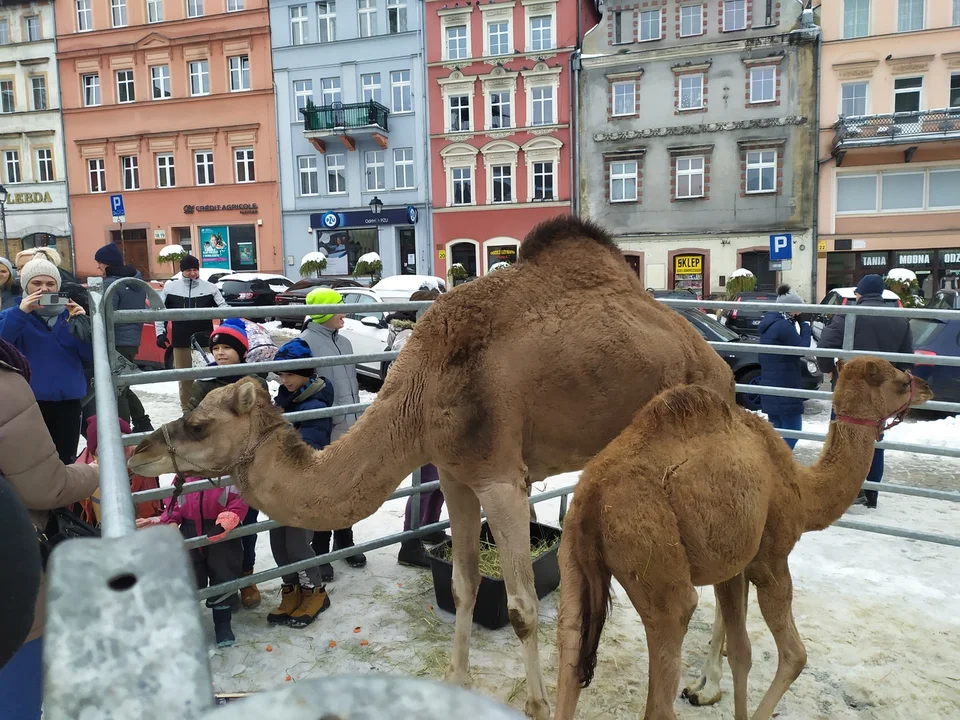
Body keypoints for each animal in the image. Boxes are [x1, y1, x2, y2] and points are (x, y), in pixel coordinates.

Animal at [125, 215, 728, 720]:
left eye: (198, 424)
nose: (140, 451)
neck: (421, 393)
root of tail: (715, 361)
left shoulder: (501, 478)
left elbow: (522, 606)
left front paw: (535, 705)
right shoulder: (457, 473)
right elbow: (462, 585)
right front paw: (457, 682)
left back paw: (706, 685)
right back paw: (704, 681)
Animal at [556, 358, 928, 720]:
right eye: (900, 381)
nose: (926, 386)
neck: (803, 490)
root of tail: (592, 497)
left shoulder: (733, 565)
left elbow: (740, 652)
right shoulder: (770, 560)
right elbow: (795, 655)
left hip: (572, 559)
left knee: (569, 653)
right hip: (652, 552)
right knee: (670, 649)